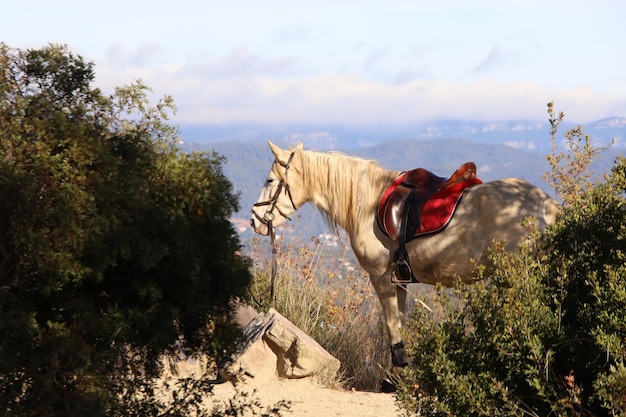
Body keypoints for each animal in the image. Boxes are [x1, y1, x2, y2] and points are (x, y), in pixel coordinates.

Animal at [250, 142, 560, 368]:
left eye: (269, 179)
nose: (254, 221)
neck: (368, 203)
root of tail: (545, 204)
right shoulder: (400, 280)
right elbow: (401, 324)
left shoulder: (381, 278)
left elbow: (392, 327)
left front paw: (396, 377)